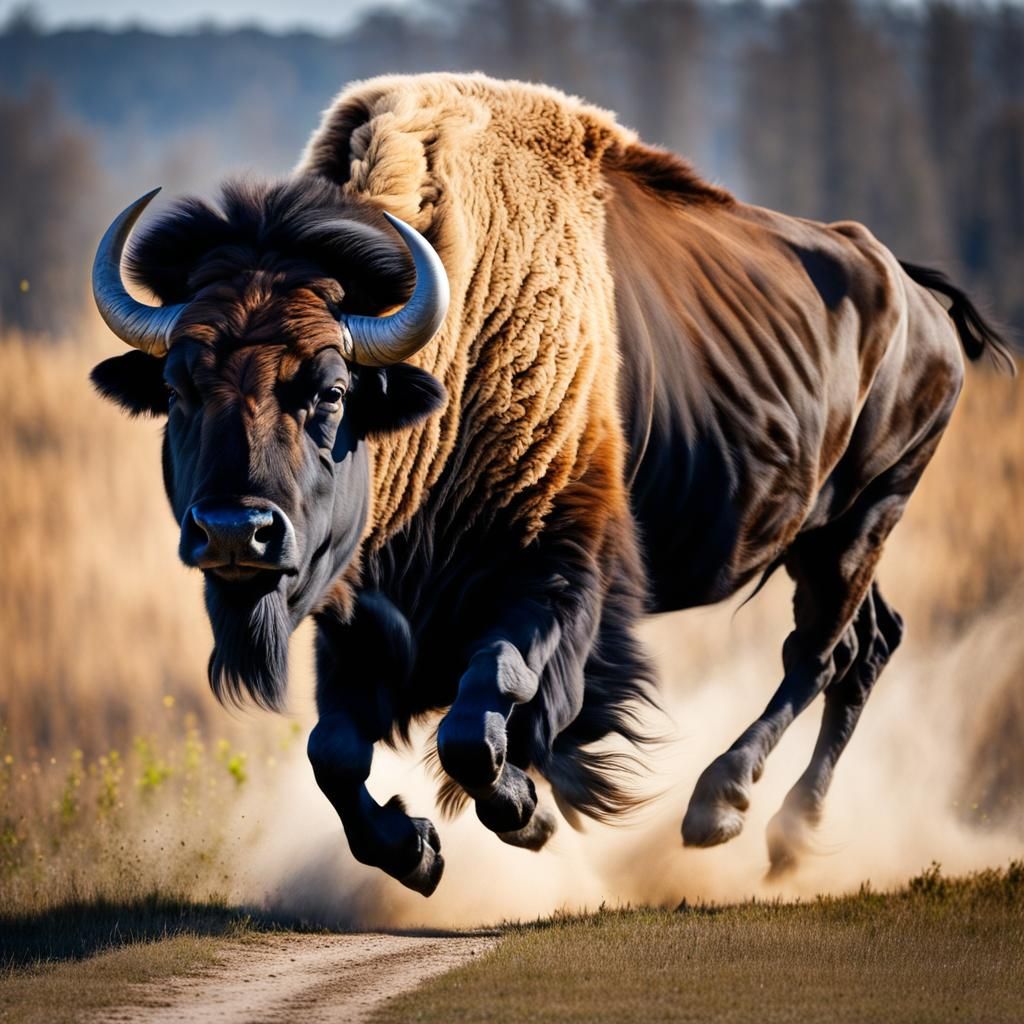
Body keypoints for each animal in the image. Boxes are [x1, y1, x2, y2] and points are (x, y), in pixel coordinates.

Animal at [92, 74, 1014, 896]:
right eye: (176, 386)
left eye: (331, 391)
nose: (233, 533)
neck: (453, 355)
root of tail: (913, 292)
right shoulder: (355, 615)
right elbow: (335, 752)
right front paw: (417, 853)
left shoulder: (557, 581)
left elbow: (482, 719)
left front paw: (527, 812)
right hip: (821, 537)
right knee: (868, 644)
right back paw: (789, 841)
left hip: (864, 517)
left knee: (817, 651)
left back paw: (719, 810)